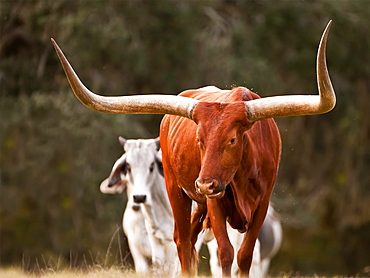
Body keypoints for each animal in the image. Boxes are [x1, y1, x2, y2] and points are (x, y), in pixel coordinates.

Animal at [51, 21, 336, 276]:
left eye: (232, 140)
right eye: (199, 140)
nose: (205, 184)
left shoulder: (262, 204)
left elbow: (244, 256)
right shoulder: (215, 202)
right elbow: (225, 253)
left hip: (200, 203)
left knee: (190, 242)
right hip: (178, 190)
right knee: (183, 242)